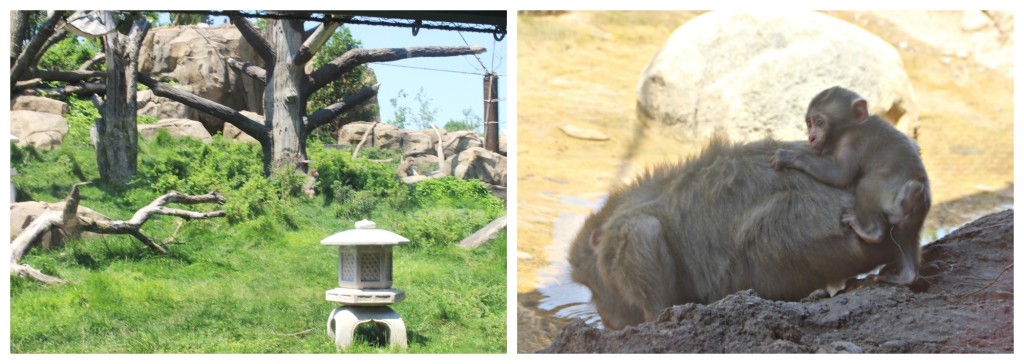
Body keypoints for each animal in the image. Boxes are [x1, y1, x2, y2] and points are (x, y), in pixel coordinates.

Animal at [770, 87, 933, 287]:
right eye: (809, 123)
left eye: (820, 123)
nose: (811, 137)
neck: (852, 126)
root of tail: (920, 196)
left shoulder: (849, 141)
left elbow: (840, 174)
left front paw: (790, 157)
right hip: (913, 215)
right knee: (906, 233)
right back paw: (907, 276)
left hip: (890, 194)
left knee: (866, 187)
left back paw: (871, 232)